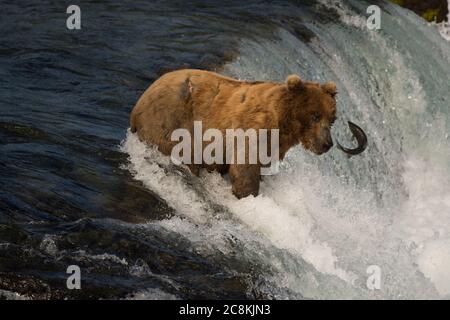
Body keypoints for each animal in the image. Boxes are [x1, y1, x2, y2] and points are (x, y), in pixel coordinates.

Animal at [130, 69, 338, 199]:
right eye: (315, 116)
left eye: (332, 119)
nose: (327, 144)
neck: (284, 123)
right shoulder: (253, 129)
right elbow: (245, 166)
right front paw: (248, 196)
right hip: (171, 122)